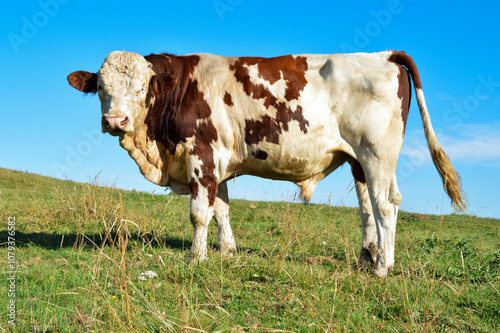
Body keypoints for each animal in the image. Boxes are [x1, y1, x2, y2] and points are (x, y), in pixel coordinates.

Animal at [68, 50, 466, 274]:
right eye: (100, 87)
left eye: (142, 86)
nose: (115, 121)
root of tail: (384, 53)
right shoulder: (219, 161)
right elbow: (221, 209)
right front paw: (228, 252)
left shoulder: (202, 154)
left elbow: (199, 213)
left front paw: (197, 257)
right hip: (361, 160)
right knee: (370, 207)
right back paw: (368, 258)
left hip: (377, 152)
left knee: (384, 206)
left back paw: (384, 266)